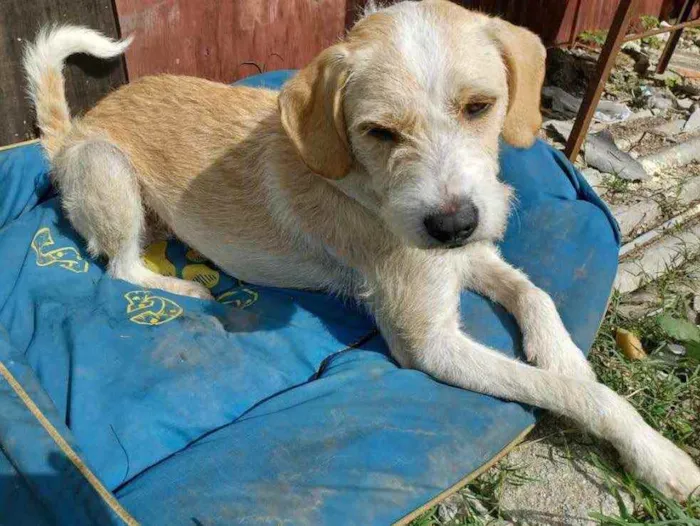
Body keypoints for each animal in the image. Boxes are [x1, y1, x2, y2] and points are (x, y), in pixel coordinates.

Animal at [23, 0, 700, 504]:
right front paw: (657, 454)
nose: (453, 224)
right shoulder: (428, 343)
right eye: (379, 132)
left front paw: (563, 357)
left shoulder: (467, 257)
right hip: (109, 172)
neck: (368, 187)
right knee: (119, 267)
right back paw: (183, 284)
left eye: (479, 107)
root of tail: (73, 130)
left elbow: (536, 295)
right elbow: (576, 395)